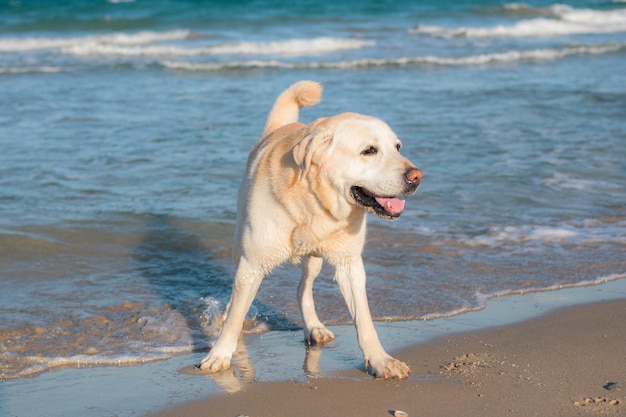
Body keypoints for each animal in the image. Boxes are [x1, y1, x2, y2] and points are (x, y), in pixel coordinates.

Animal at [200, 79, 422, 376]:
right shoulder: (252, 264)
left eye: (398, 146)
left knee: (302, 289)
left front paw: (379, 359)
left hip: (314, 259)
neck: (317, 204)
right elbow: (235, 316)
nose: (417, 177)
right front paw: (219, 354)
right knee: (237, 296)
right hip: (241, 246)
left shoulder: (350, 264)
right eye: (369, 150)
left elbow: (364, 319)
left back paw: (313, 326)